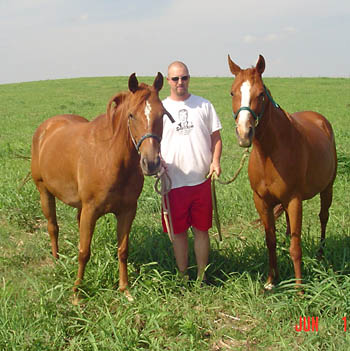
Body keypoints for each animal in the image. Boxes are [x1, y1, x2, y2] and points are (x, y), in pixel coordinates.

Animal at [31, 73, 174, 304]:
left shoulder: (127, 211)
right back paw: (57, 260)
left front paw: (124, 289)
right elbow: (83, 252)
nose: (151, 163)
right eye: (132, 115)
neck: (110, 157)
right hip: (45, 192)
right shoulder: (91, 210)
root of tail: (46, 127)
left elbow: (123, 250)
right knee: (53, 227)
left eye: (162, 114)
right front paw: (76, 292)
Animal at [227, 55, 336, 290]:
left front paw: (299, 289)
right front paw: (271, 281)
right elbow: (270, 241)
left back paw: (321, 255)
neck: (270, 153)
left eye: (261, 93)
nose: (244, 134)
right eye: (232, 92)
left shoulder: (295, 200)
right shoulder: (261, 201)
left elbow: (297, 247)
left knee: (323, 217)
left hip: (327, 188)